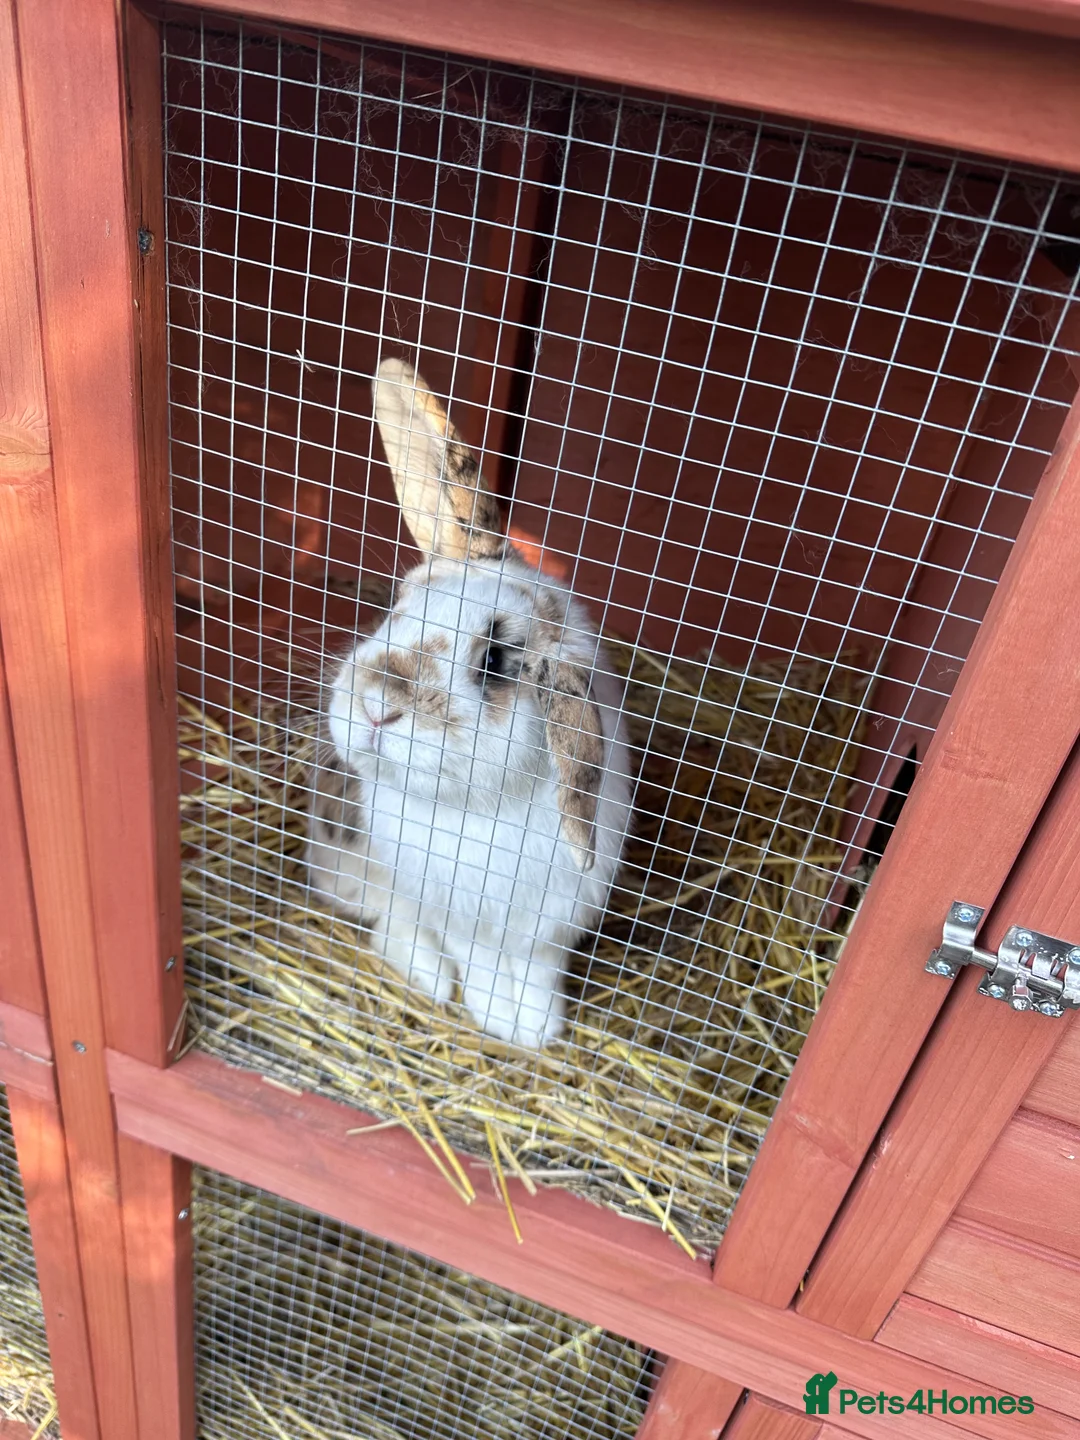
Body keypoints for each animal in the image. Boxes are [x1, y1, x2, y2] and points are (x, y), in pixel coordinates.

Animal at [307, 359, 632, 1048]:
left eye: (496, 663)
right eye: (398, 607)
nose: (377, 706)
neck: (468, 816)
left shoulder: (551, 924)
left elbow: (536, 973)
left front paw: (535, 1030)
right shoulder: (456, 917)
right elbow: (475, 962)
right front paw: (495, 1015)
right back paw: (429, 978)